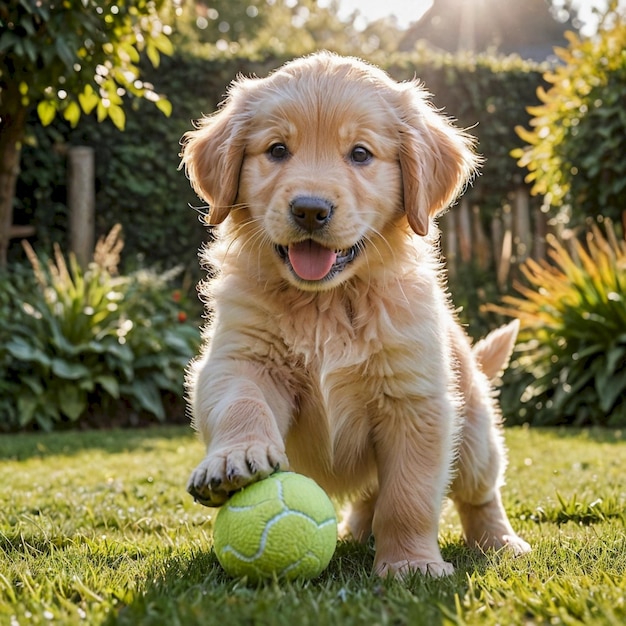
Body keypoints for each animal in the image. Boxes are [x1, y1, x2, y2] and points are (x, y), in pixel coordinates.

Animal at [180, 52, 528, 576]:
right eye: (277, 150)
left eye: (361, 154)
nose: (309, 210)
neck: (327, 302)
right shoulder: (240, 357)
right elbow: (242, 401)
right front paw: (235, 458)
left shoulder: (416, 399)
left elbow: (409, 495)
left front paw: (409, 564)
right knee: (371, 495)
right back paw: (357, 530)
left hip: (474, 437)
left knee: (478, 493)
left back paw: (500, 541)